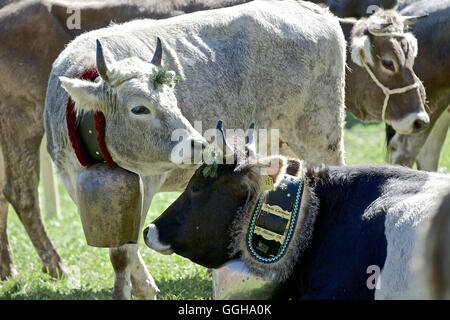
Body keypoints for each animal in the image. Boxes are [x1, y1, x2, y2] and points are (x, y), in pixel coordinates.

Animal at [44, 0, 346, 300]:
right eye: (139, 108)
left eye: (173, 99)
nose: (197, 143)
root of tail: (310, 9)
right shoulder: (74, 185)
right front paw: (145, 287)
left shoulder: (145, 184)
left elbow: (122, 253)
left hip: (321, 138)